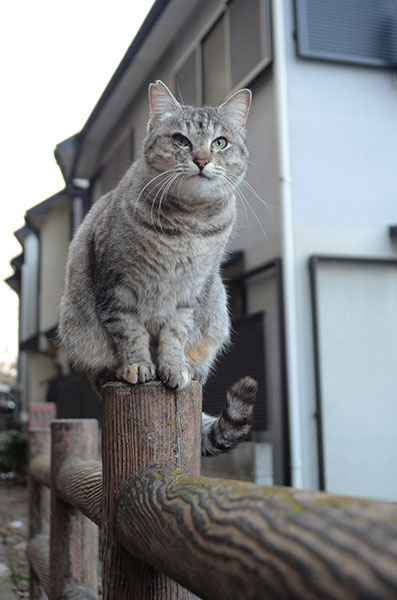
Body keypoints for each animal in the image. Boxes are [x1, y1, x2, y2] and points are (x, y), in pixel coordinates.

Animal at [58, 79, 256, 454]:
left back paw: (193, 371)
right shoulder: (116, 284)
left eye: (219, 142)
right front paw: (138, 365)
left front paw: (174, 367)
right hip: (79, 329)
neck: (187, 223)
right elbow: (129, 330)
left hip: (216, 311)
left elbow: (175, 333)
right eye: (181, 140)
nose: (202, 159)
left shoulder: (191, 291)